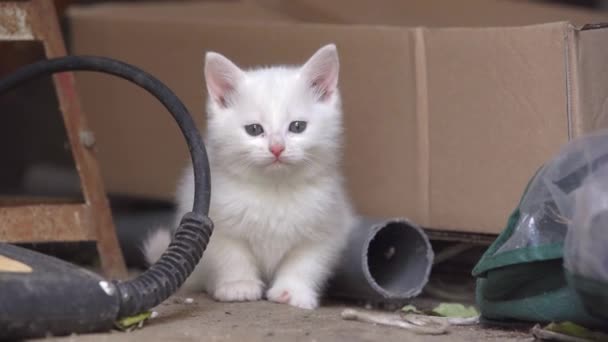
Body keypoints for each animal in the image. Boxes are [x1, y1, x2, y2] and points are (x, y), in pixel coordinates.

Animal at [144, 43, 354, 310]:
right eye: (254, 129)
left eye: (297, 127)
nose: (277, 148)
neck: (275, 189)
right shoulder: (219, 224)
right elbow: (232, 256)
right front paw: (239, 286)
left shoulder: (327, 226)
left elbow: (305, 263)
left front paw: (292, 292)